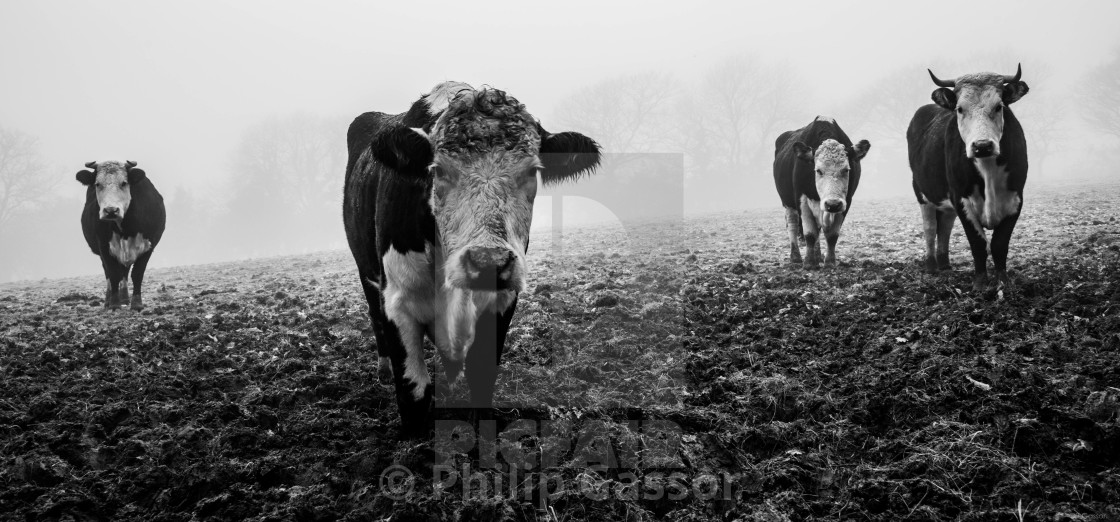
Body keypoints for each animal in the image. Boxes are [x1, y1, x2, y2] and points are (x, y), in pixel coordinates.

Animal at [76, 160, 165, 309]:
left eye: (124, 183)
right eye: (97, 184)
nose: (111, 210)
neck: (125, 230)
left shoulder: (149, 245)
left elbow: (137, 274)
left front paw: (137, 303)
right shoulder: (104, 246)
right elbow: (113, 274)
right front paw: (114, 303)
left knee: (125, 271)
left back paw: (125, 298)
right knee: (110, 273)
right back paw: (109, 300)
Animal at [342, 82, 600, 436]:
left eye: (533, 170)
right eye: (437, 170)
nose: (488, 261)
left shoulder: (502, 300)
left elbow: (482, 376)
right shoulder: (398, 300)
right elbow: (414, 394)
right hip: (366, 273)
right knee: (374, 315)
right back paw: (383, 369)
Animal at [775, 117, 869, 268]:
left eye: (846, 169)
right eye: (818, 170)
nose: (833, 204)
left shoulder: (846, 202)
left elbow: (832, 235)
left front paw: (829, 262)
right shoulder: (802, 200)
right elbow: (809, 234)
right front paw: (809, 263)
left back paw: (818, 256)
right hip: (787, 202)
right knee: (793, 225)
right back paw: (795, 257)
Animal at [904, 64, 1025, 291]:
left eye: (999, 106)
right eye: (960, 109)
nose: (982, 146)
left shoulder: (1016, 198)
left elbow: (999, 244)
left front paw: (1002, 282)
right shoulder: (961, 198)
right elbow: (978, 244)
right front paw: (979, 284)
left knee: (945, 228)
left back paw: (945, 265)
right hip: (922, 193)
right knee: (930, 228)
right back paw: (932, 266)